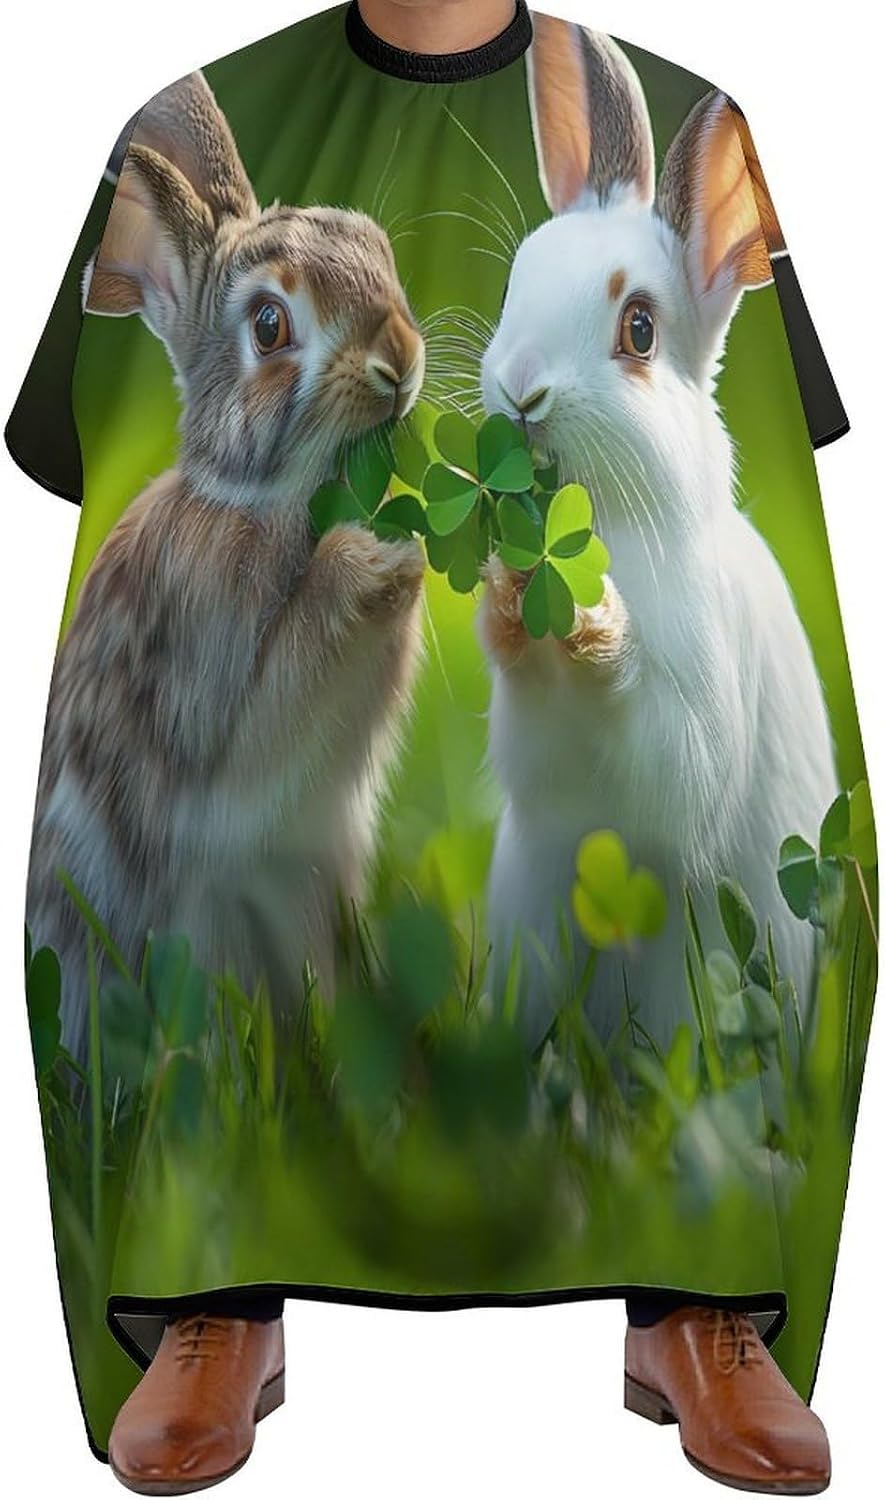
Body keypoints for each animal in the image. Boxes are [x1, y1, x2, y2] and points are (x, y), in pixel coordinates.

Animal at [27, 71, 427, 1066]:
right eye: (270, 325)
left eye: (372, 243)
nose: (398, 358)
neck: (257, 500)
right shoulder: (212, 710)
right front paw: (369, 559)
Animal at [478, 18, 838, 1050]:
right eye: (518, 278)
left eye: (638, 329)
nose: (521, 388)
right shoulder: (532, 754)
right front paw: (507, 603)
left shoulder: (697, 717)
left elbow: (666, 768)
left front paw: (598, 627)